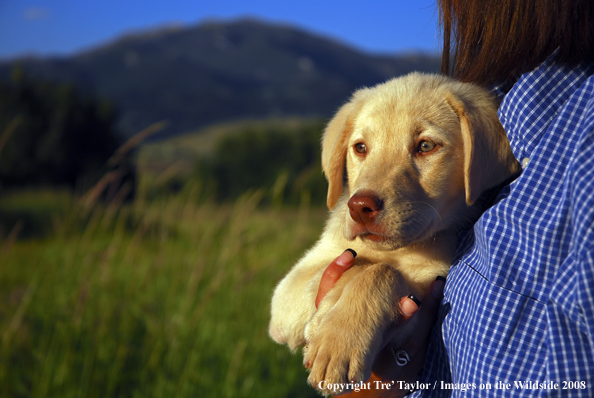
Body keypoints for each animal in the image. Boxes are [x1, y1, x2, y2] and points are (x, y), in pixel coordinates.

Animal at [268, 74, 520, 394]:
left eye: (425, 145)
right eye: (360, 148)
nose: (360, 207)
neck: (398, 250)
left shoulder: (427, 292)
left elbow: (382, 272)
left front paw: (338, 341)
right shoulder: (287, 296)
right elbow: (361, 264)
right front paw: (332, 330)